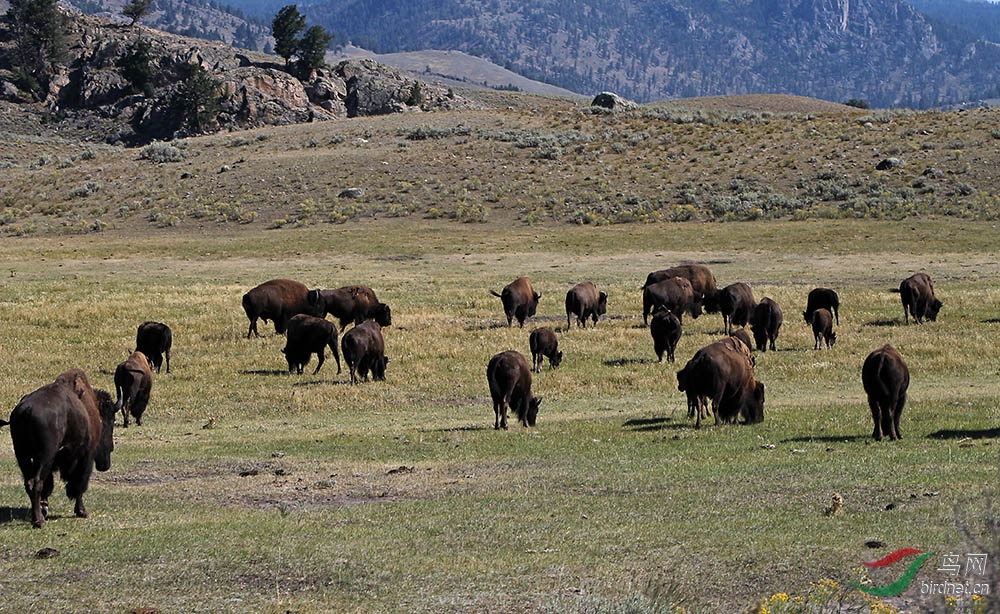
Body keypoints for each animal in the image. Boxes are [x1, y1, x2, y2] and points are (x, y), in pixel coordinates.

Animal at [2, 368, 116, 532]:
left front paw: (45, 508)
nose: (105, 464)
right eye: (110, 422)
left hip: (22, 455)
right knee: (37, 482)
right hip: (45, 455)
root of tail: (27, 410)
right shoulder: (85, 457)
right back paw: (39, 521)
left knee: (30, 482)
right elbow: (79, 485)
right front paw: (82, 511)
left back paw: (39, 515)